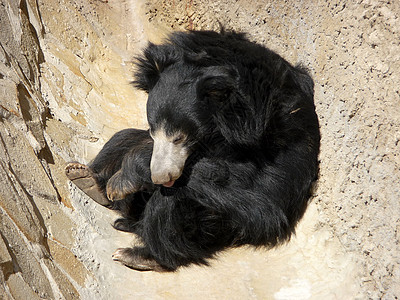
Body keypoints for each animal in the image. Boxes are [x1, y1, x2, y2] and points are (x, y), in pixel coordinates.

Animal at [67, 29, 320, 272]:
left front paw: (122, 181)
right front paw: (109, 179)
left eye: (179, 137)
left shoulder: (270, 139)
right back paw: (88, 180)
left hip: (219, 225)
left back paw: (142, 255)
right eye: (153, 130)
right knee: (125, 136)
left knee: (173, 199)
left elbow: (253, 192)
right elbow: (135, 140)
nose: (161, 176)